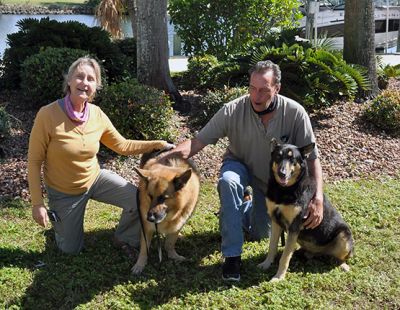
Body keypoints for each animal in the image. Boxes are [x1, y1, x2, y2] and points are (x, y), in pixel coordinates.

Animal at [256, 139, 354, 280]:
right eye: (278, 156)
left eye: (292, 159)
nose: (281, 173)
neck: (285, 190)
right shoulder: (275, 221)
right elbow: (272, 246)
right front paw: (266, 264)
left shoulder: (294, 227)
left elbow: (285, 256)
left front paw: (279, 277)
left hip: (343, 236)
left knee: (341, 258)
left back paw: (342, 265)